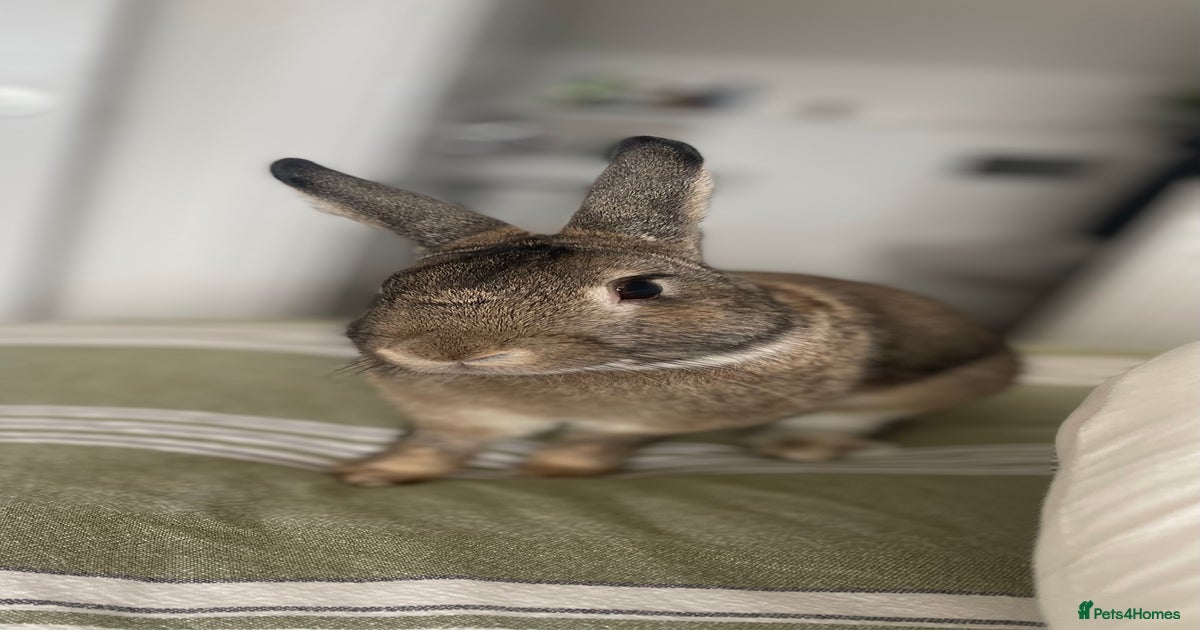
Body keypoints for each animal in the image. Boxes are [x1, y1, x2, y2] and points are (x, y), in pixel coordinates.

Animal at [270, 136, 1018, 486]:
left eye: (643, 289)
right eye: (394, 281)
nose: (448, 353)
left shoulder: (636, 422)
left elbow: (605, 441)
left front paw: (553, 469)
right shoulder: (460, 420)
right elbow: (437, 447)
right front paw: (368, 475)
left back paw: (801, 447)